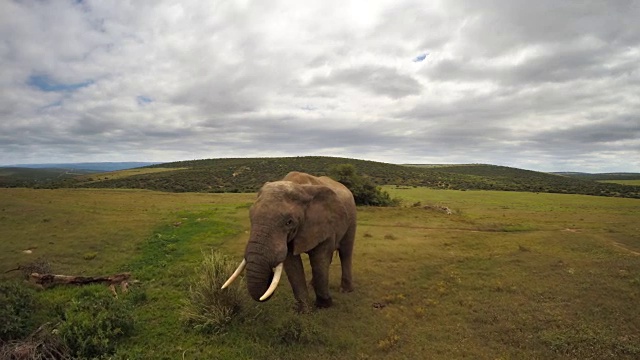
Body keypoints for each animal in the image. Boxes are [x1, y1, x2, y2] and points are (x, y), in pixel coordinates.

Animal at [224, 171, 358, 310]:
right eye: (250, 217)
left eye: (289, 222)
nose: (269, 276)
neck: (299, 186)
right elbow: (292, 264)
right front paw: (303, 310)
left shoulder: (325, 222)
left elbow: (319, 259)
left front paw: (324, 305)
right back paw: (312, 285)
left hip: (352, 216)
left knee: (345, 252)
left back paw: (346, 290)